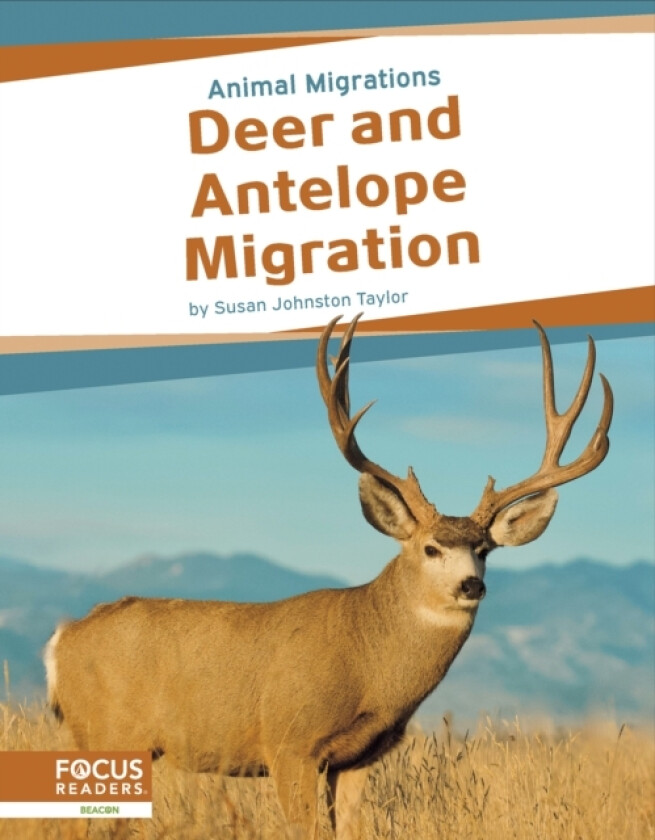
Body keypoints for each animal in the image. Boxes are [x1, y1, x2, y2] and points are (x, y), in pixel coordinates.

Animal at [44, 315, 613, 840]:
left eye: (485, 550)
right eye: (430, 547)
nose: (471, 585)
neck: (367, 659)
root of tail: (60, 641)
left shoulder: (356, 757)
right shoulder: (288, 742)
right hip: (106, 733)